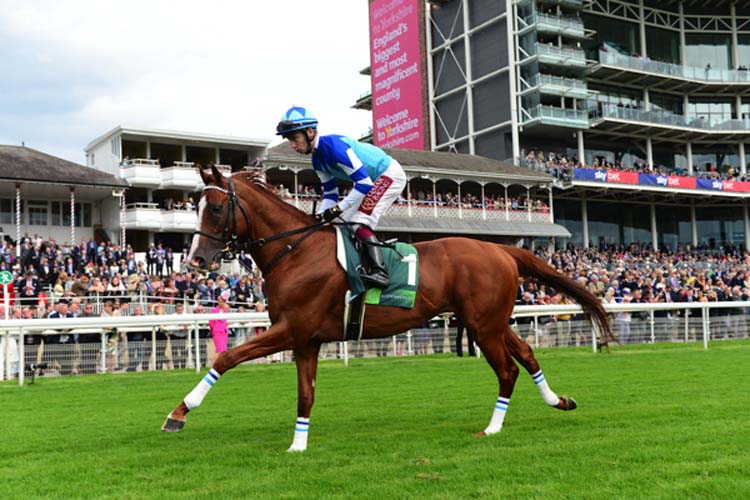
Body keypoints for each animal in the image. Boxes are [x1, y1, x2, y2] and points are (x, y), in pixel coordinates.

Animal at [163, 166, 612, 452]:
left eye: (215, 209)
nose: (196, 260)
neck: (295, 251)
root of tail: (502, 250)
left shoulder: (292, 329)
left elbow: (227, 357)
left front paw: (179, 413)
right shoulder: (306, 340)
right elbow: (305, 396)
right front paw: (298, 445)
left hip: (484, 327)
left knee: (507, 371)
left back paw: (492, 427)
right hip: (492, 321)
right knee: (528, 354)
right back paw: (559, 401)